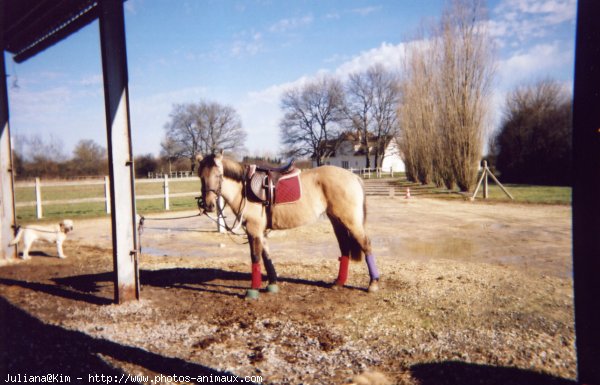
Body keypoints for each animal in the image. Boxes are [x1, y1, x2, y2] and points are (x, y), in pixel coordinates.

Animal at [198, 152, 384, 298]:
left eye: (218, 175)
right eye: (201, 176)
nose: (209, 205)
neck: (244, 188)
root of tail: (354, 177)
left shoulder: (253, 229)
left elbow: (255, 257)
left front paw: (253, 290)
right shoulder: (260, 231)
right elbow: (266, 256)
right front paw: (272, 284)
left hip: (350, 221)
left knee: (366, 245)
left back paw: (373, 283)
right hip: (337, 221)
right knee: (344, 248)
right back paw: (338, 282)